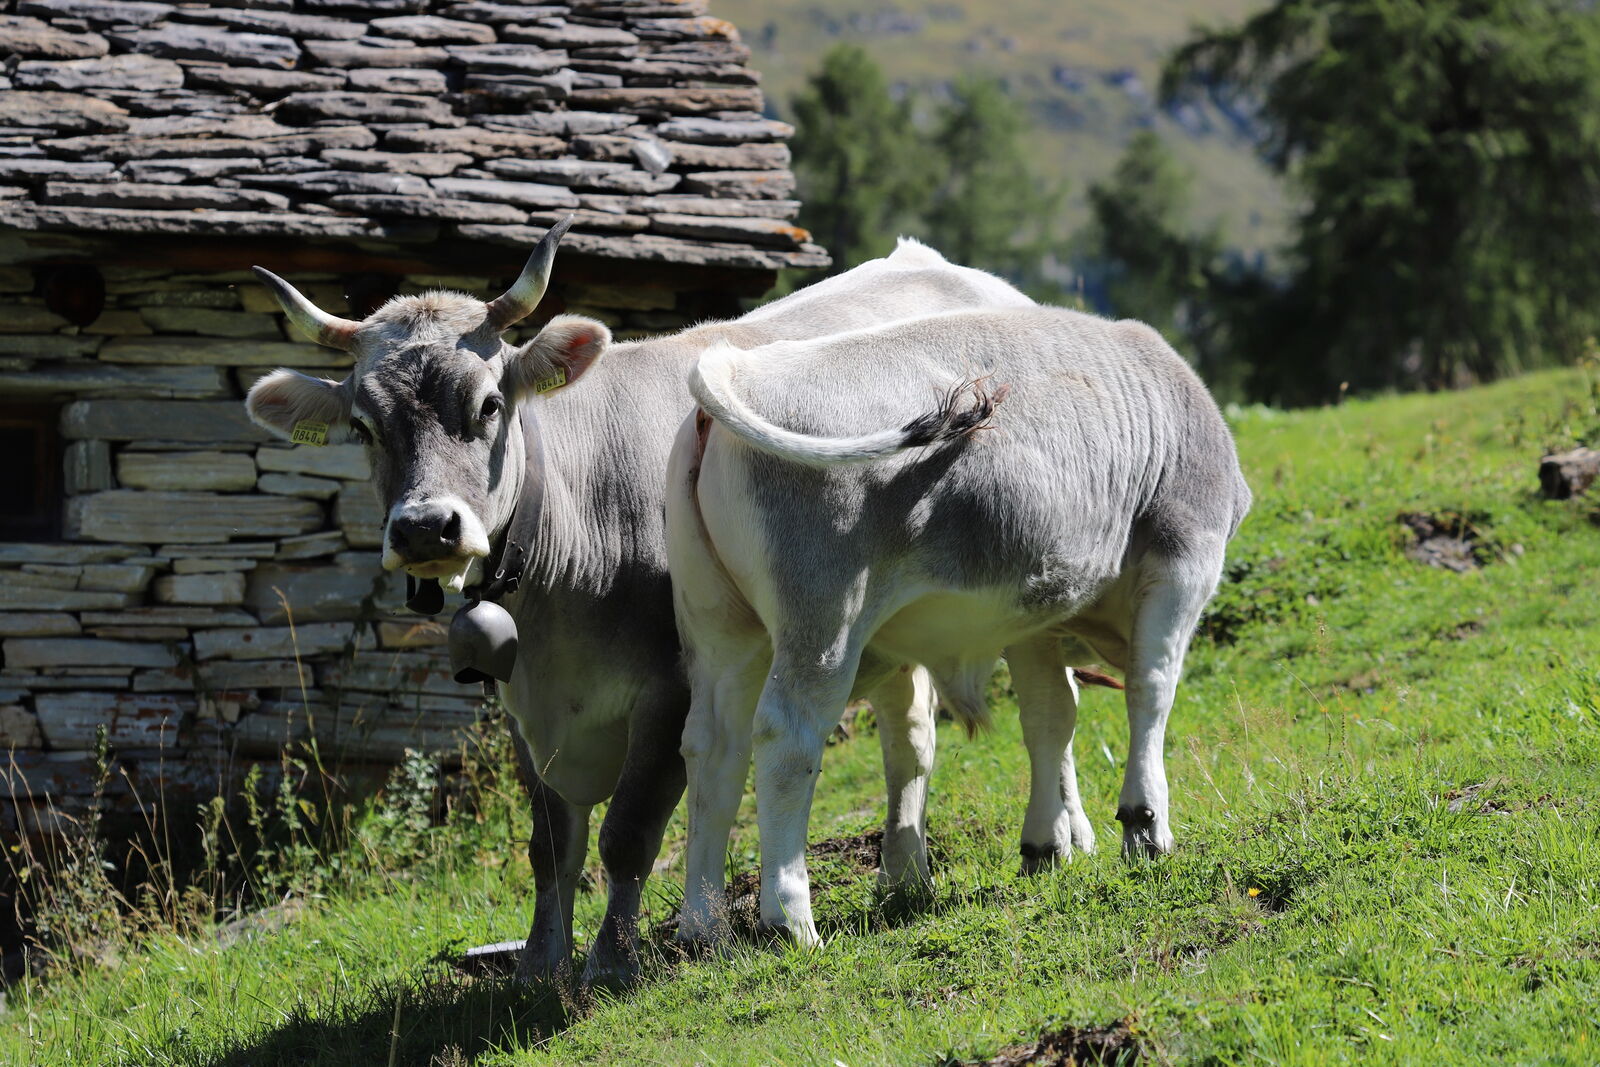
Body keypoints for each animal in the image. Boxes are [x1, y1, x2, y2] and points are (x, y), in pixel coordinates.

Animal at [242, 223, 1034, 985]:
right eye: (362, 427)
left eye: (490, 404)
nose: (424, 527)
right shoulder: (521, 707)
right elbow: (550, 844)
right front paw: (539, 963)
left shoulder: (670, 690)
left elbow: (626, 832)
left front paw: (614, 958)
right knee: (907, 735)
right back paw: (904, 879)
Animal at [662, 306, 1252, 949]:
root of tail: (740, 365)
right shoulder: (1183, 556)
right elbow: (1152, 687)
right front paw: (1146, 826)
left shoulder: (1035, 611)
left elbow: (1050, 719)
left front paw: (1045, 845)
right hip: (823, 622)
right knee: (785, 738)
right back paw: (791, 918)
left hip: (722, 633)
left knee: (714, 748)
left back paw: (703, 926)